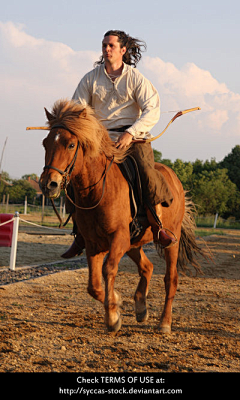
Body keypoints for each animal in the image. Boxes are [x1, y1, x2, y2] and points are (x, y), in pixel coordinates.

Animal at [39, 99, 206, 334]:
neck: (98, 189)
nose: (49, 184)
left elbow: (108, 269)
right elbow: (93, 285)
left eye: (71, 145)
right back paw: (141, 308)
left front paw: (112, 316)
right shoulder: (94, 243)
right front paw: (116, 304)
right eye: (45, 143)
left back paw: (164, 322)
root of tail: (175, 180)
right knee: (147, 267)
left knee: (170, 278)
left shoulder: (117, 238)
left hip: (170, 239)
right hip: (133, 243)